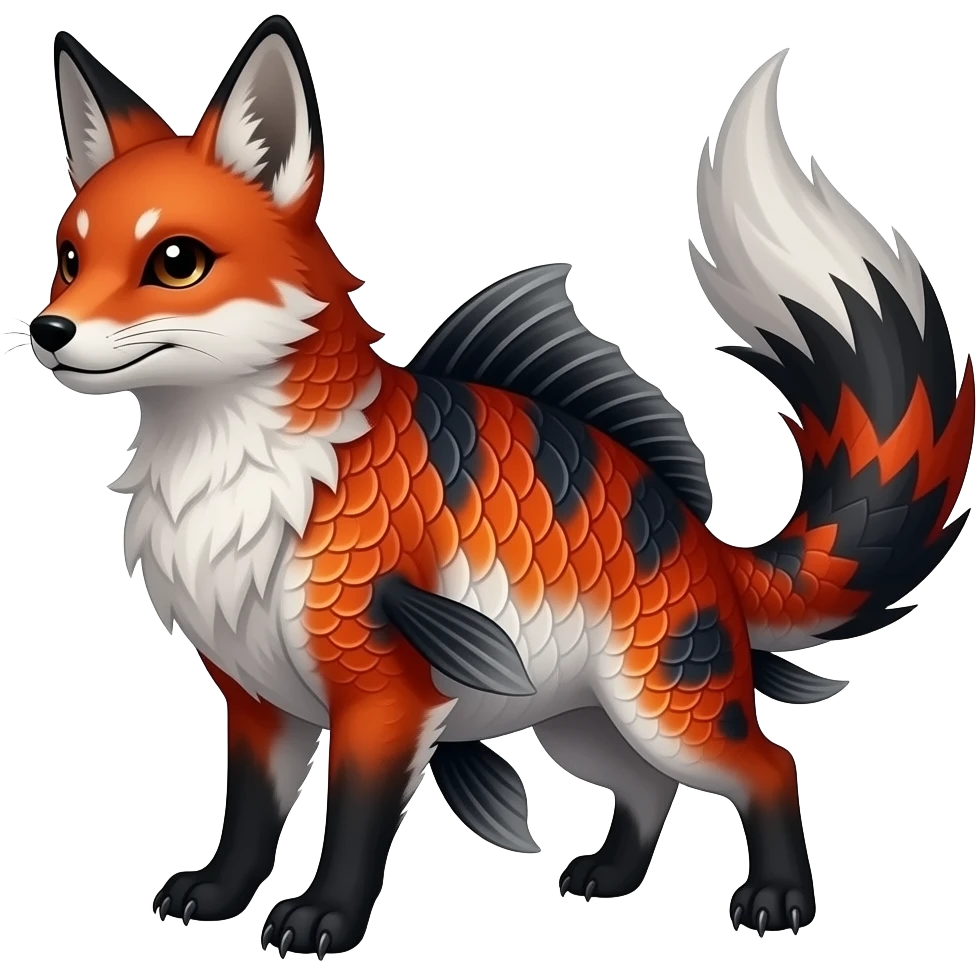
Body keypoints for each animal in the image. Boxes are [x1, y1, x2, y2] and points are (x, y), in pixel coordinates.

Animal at [18, 16, 974, 957]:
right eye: (68, 257)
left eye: (176, 260)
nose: (46, 330)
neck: (259, 478)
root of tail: (702, 537)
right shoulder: (256, 696)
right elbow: (248, 818)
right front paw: (217, 896)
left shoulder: (384, 694)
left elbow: (354, 822)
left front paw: (324, 920)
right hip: (579, 720)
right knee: (647, 787)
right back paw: (610, 878)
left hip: (666, 705)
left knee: (769, 767)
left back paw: (778, 900)